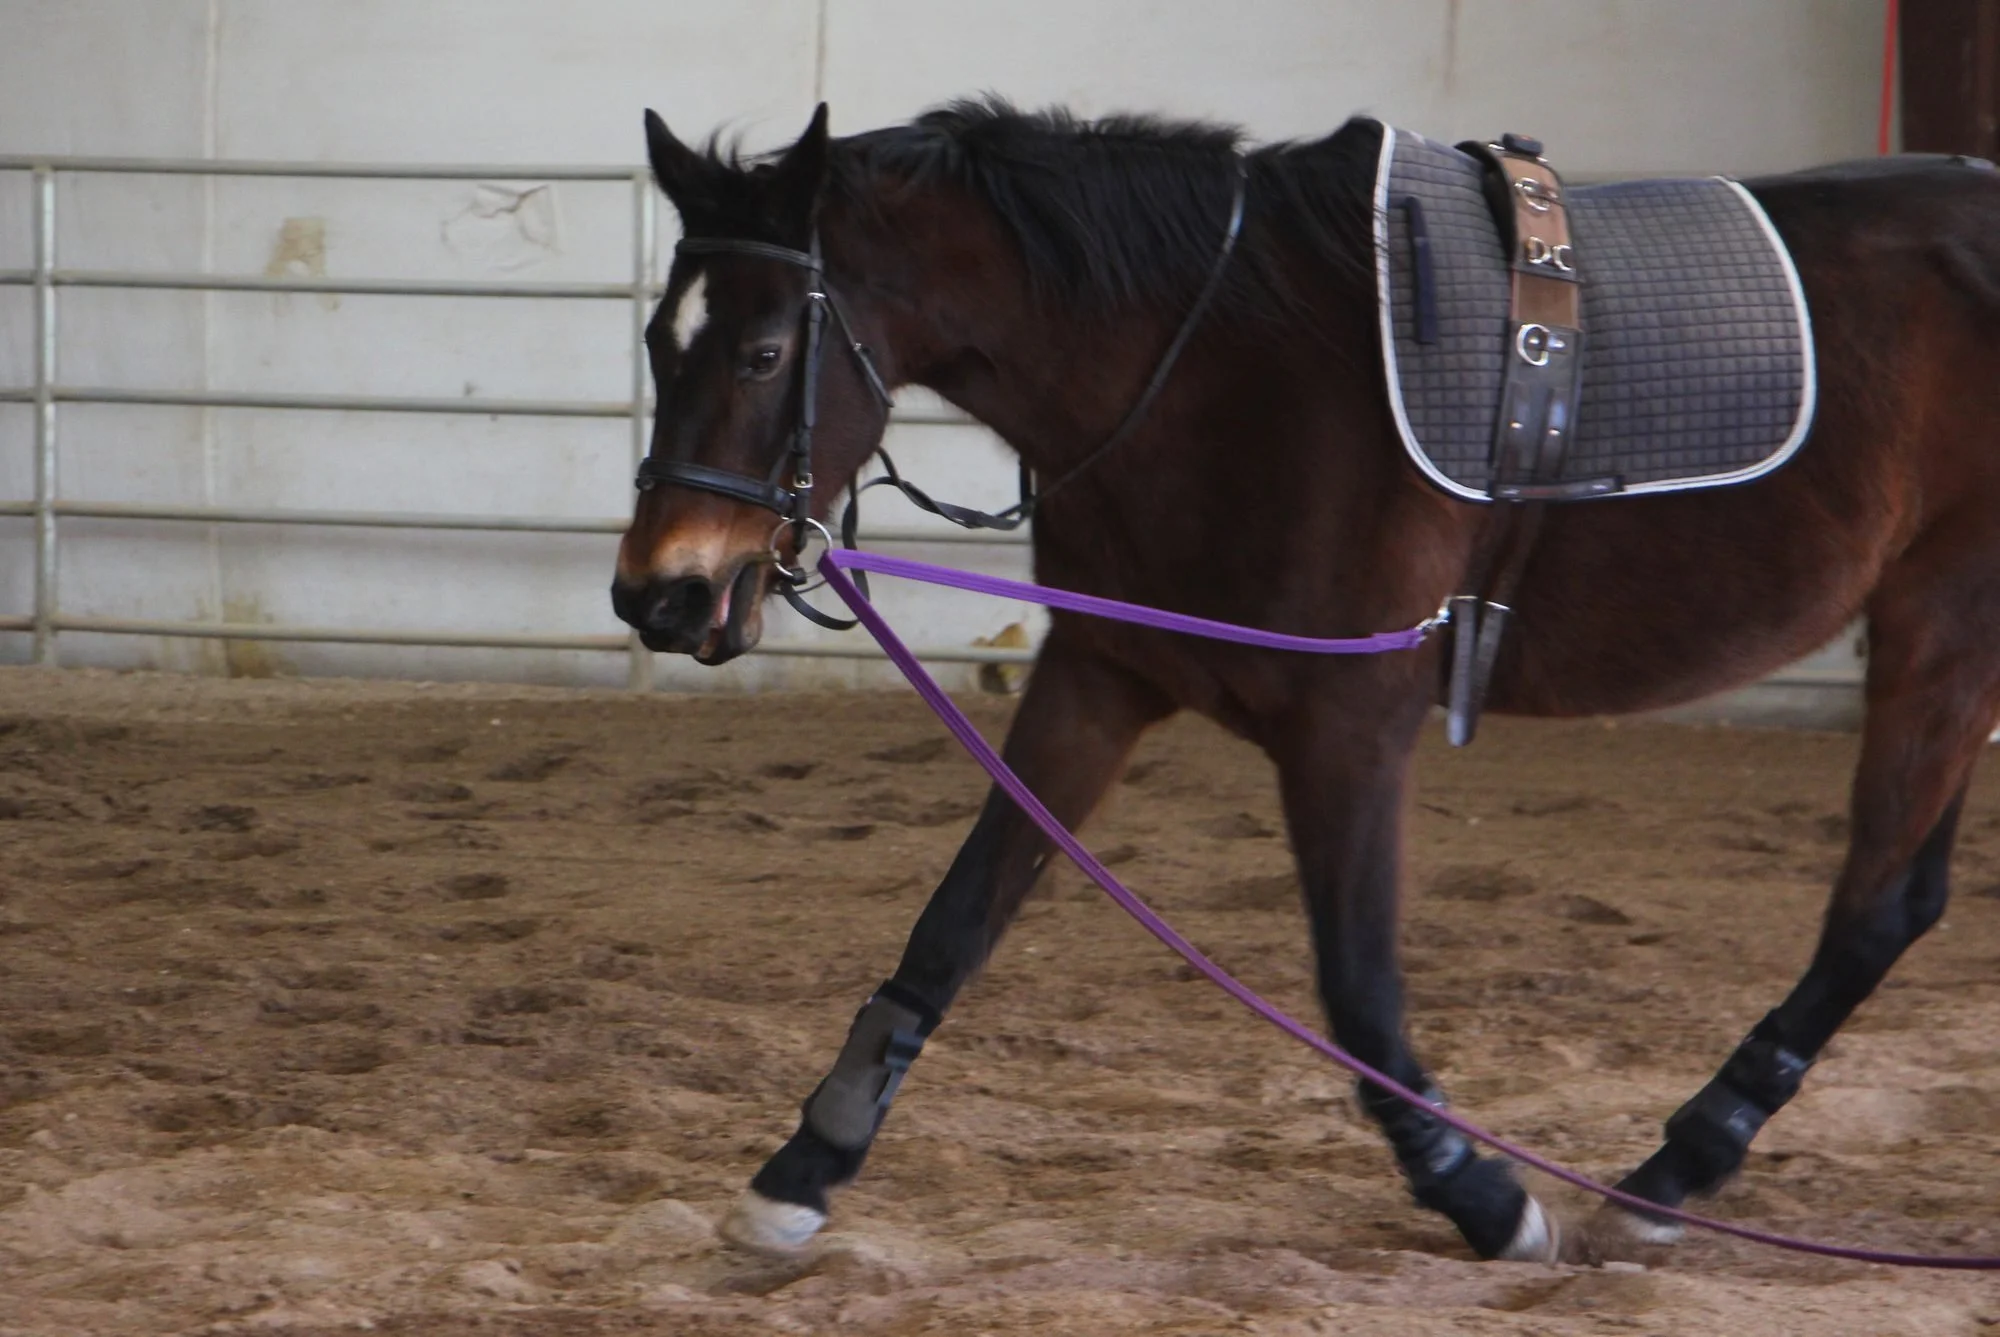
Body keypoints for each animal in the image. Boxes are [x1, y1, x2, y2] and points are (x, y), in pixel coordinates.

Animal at [609, 98, 2000, 1264]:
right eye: (660, 343)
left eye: (763, 351)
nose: (658, 593)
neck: (1215, 362)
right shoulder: (1098, 674)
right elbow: (954, 922)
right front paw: (805, 1164)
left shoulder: (1351, 720)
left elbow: (1358, 988)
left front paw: (1478, 1193)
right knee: (1905, 897)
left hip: (1942, 622)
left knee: (1874, 907)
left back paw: (1670, 1171)